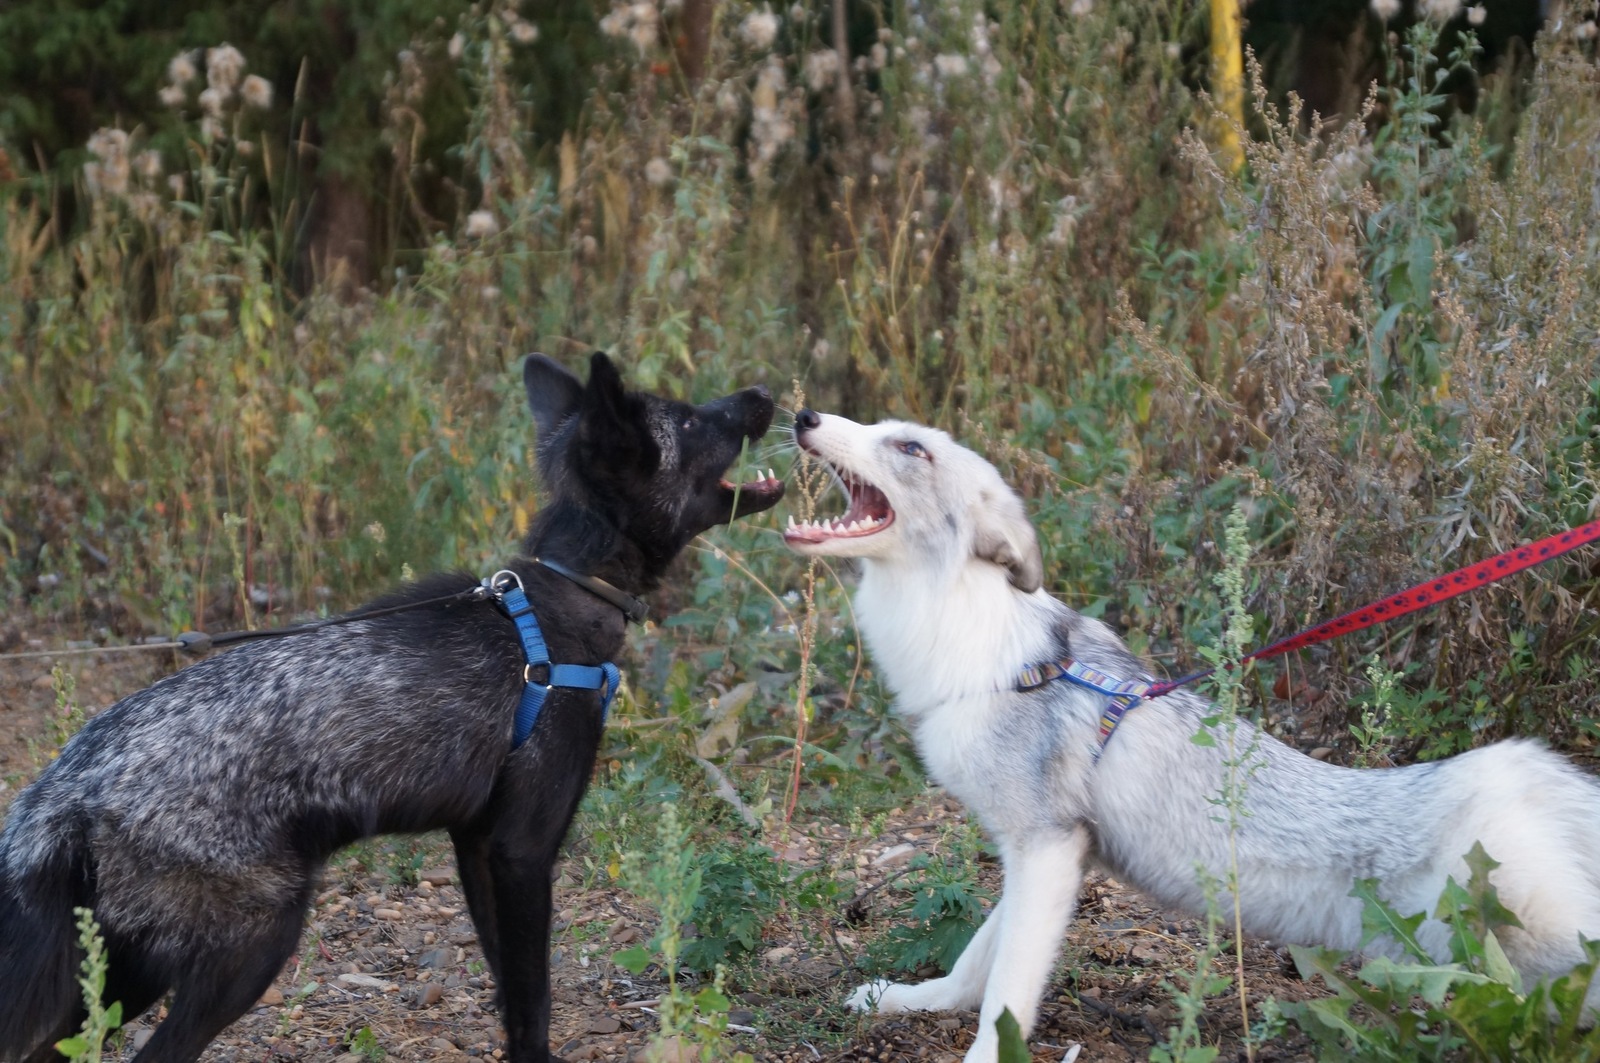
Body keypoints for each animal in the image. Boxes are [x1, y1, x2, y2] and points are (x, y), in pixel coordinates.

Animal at [0, 355, 780, 1063]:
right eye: (689, 420)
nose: (765, 393)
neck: (561, 602)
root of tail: (66, 790)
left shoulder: (477, 846)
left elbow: (507, 989)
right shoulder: (523, 852)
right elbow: (533, 999)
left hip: (122, 971)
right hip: (248, 947)